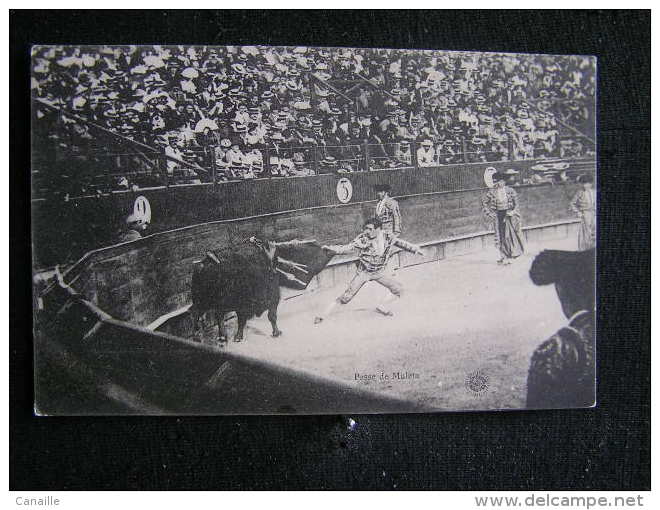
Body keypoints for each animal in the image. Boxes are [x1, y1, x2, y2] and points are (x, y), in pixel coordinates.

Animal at [191, 238, 336, 342]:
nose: (331, 250)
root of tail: (205, 265)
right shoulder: (270, 298)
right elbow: (270, 316)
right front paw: (276, 333)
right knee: (210, 314)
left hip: (202, 300)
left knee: (201, 313)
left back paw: (206, 335)